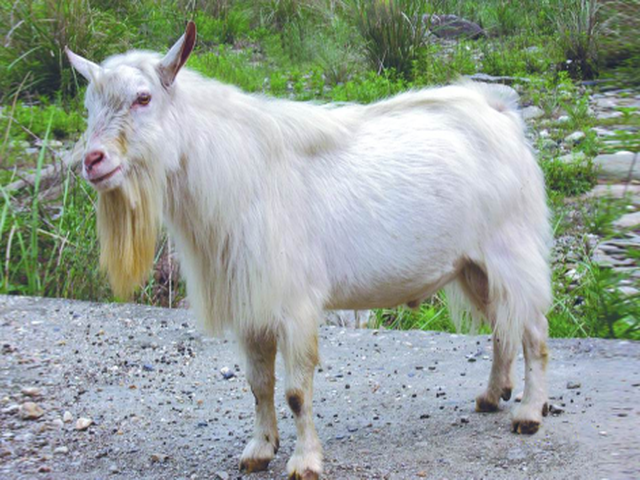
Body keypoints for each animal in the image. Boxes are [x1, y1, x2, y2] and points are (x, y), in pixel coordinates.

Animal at [67, 22, 551, 479]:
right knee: (503, 325)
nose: (92, 161)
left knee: (533, 330)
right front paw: (259, 450)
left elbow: (296, 392)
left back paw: (529, 413)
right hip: (473, 267)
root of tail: (500, 115)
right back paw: (492, 395)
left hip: (511, 250)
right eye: (89, 106)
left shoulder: (294, 305)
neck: (237, 171)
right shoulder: (252, 307)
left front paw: (304, 461)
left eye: (143, 98)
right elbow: (258, 384)